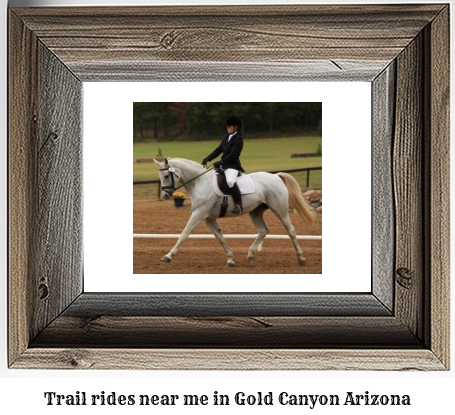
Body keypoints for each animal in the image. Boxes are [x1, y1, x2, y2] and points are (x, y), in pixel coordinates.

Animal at [155, 158, 316, 268]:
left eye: (166, 176)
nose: (165, 196)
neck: (200, 182)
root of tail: (276, 176)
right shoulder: (208, 218)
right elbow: (220, 238)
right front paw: (231, 259)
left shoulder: (199, 214)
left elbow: (184, 234)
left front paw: (168, 256)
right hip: (255, 211)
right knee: (263, 230)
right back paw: (250, 255)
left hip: (279, 209)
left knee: (291, 231)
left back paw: (301, 258)